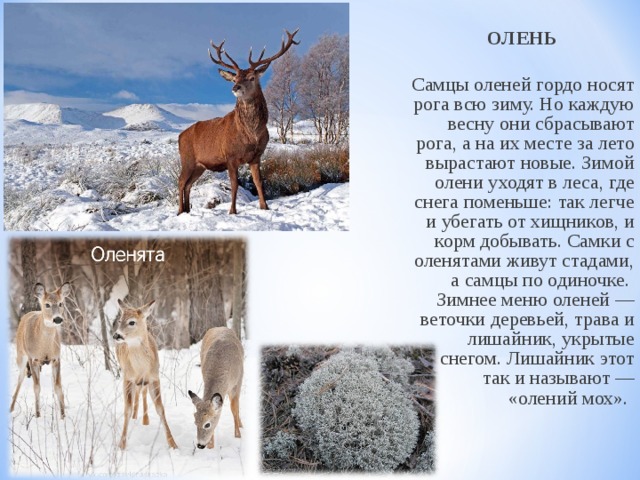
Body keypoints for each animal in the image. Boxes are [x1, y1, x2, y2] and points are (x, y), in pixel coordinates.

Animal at [10, 282, 71, 419]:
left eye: (61, 303)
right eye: (47, 304)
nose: (58, 319)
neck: (44, 348)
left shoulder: (56, 358)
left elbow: (58, 387)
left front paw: (63, 416)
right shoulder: (33, 359)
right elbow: (36, 387)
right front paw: (37, 415)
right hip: (21, 355)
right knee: (20, 377)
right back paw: (11, 409)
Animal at [112, 299, 177, 449]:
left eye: (132, 322)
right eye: (120, 320)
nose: (116, 335)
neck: (140, 368)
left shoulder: (154, 378)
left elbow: (160, 409)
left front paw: (173, 444)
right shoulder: (127, 378)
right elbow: (127, 409)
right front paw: (122, 444)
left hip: (146, 381)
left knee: (142, 391)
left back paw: (145, 420)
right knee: (138, 393)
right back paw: (136, 417)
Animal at [177, 28, 300, 215]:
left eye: (252, 77)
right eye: (235, 79)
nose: (236, 87)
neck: (251, 135)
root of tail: (179, 136)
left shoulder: (256, 156)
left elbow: (259, 182)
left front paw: (265, 207)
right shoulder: (230, 156)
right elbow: (234, 185)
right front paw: (232, 211)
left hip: (200, 166)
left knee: (188, 184)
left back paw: (187, 211)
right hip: (187, 159)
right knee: (180, 182)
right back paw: (178, 211)